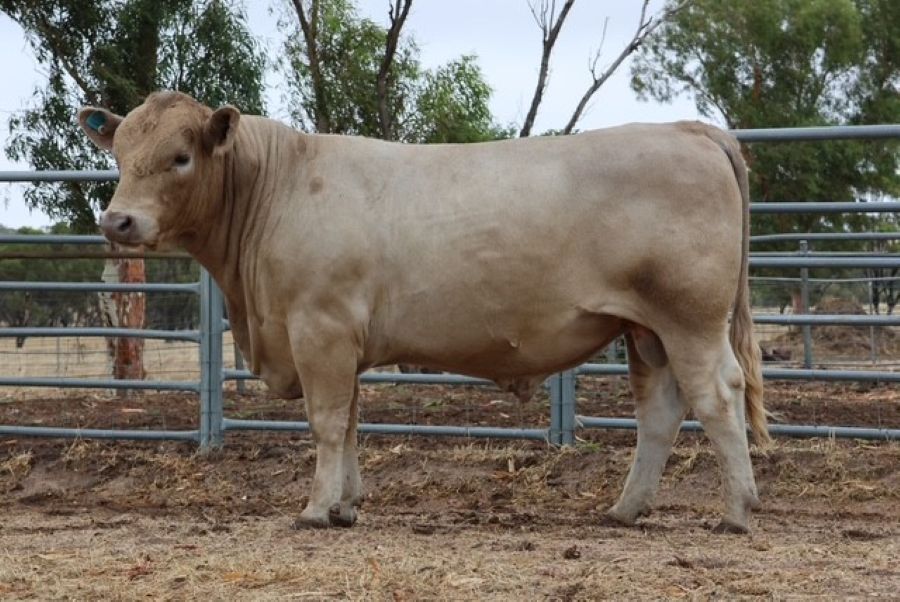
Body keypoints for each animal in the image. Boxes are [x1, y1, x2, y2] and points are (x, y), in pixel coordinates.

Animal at [79, 91, 769, 533]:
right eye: (120, 156)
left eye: (181, 157)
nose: (118, 221)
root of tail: (689, 129)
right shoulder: (340, 341)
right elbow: (350, 424)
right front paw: (346, 506)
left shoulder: (320, 329)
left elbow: (326, 422)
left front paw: (314, 509)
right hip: (644, 329)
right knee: (661, 411)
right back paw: (626, 510)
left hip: (688, 318)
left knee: (718, 394)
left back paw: (737, 510)